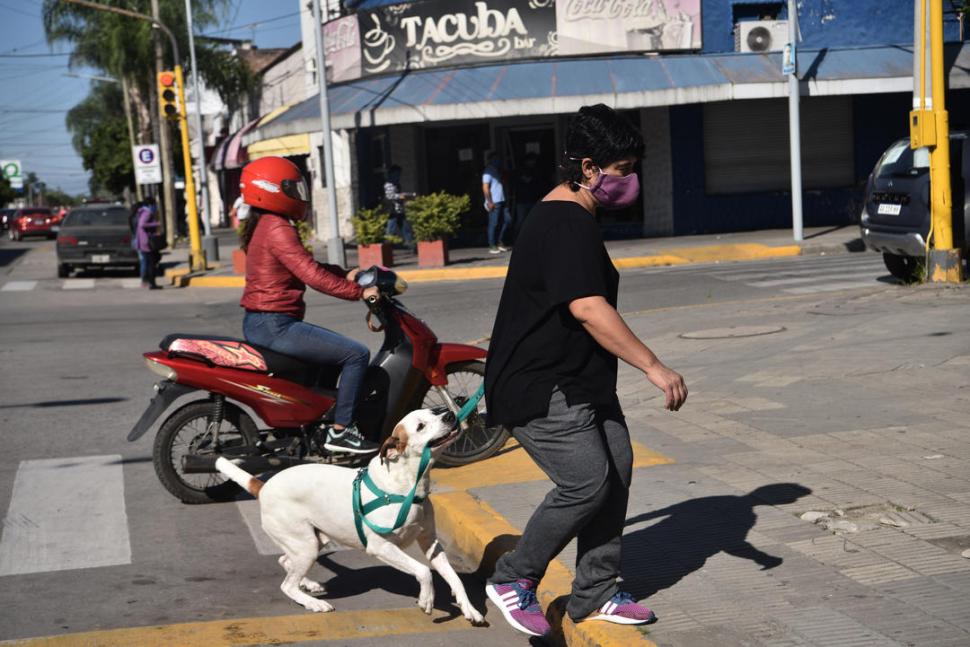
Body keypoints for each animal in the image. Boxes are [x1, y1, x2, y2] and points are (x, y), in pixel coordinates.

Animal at [215, 408, 480, 624]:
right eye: (421, 426)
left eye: (435, 412)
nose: (450, 415)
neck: (406, 486)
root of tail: (263, 487)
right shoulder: (381, 547)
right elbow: (424, 571)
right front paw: (427, 598)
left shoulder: (431, 543)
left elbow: (454, 578)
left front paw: (470, 608)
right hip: (305, 545)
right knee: (286, 584)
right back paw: (313, 603)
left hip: (314, 540)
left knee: (285, 562)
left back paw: (307, 584)